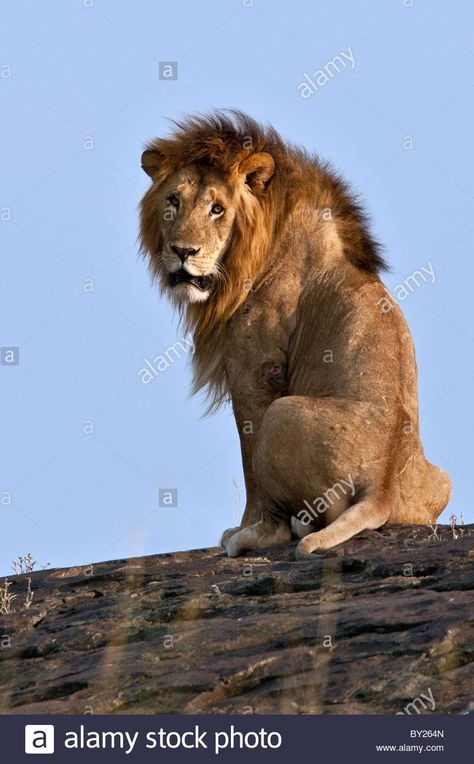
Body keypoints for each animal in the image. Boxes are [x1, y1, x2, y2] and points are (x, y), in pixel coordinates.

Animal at [139, 109, 450, 560]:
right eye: (173, 201)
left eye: (217, 209)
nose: (183, 252)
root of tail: (382, 487)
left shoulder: (255, 370)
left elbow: (248, 460)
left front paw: (243, 526)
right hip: (443, 480)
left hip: (281, 413)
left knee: (279, 524)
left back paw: (251, 538)